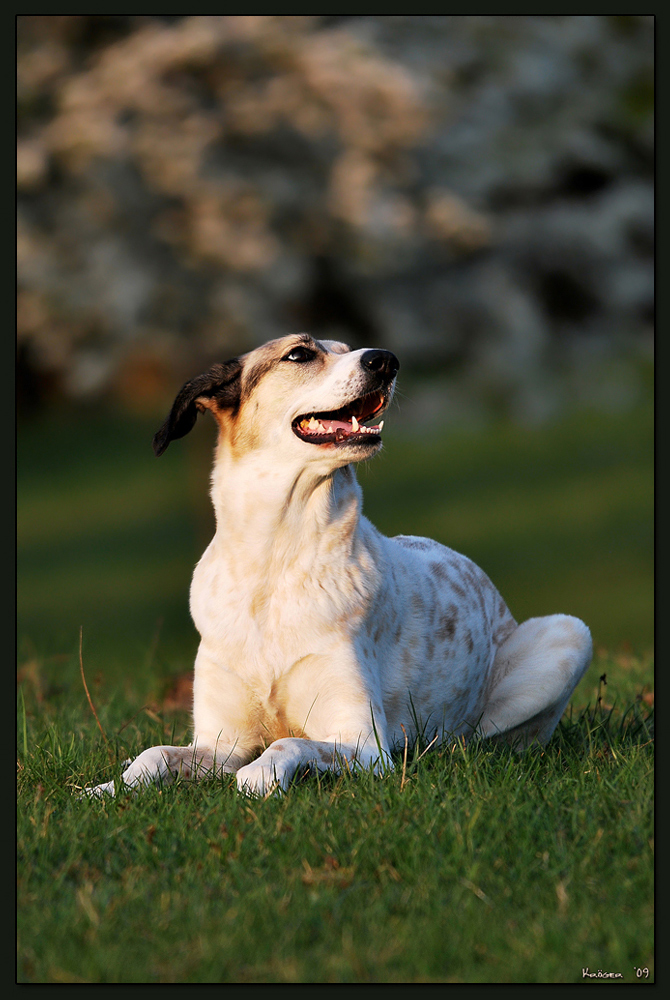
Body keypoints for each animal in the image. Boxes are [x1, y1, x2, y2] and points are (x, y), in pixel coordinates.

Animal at [84, 334, 592, 796]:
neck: (274, 562)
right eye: (299, 354)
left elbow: (287, 744)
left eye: (351, 348)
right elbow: (155, 755)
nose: (386, 360)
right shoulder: (221, 745)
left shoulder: (364, 744)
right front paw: (106, 788)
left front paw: (261, 777)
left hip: (569, 634)